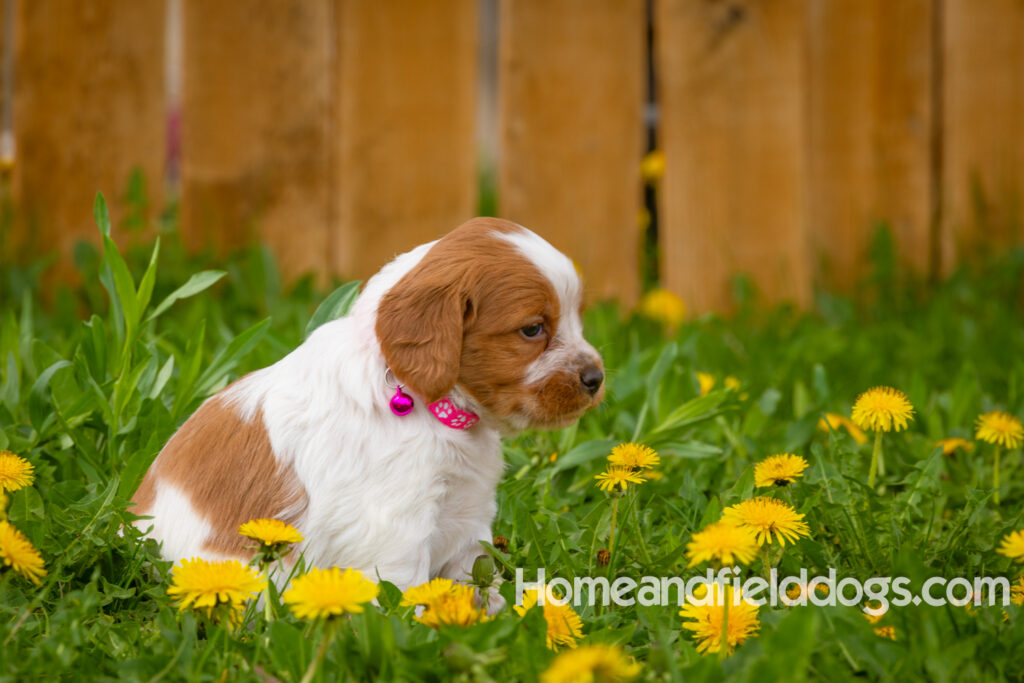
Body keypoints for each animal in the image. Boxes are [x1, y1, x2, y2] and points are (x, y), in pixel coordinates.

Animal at [131, 218, 602, 602]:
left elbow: (477, 573)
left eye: (576, 319)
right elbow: (406, 588)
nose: (596, 378)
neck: (424, 401)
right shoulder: (395, 525)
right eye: (533, 329)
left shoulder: (468, 516)